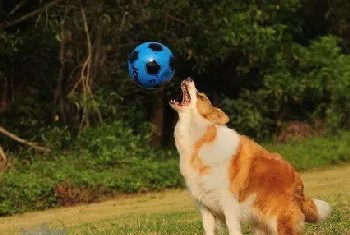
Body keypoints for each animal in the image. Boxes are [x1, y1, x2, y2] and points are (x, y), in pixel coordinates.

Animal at [169, 78, 330, 235]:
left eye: (200, 96)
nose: (189, 78)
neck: (200, 137)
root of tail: (300, 187)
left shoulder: (228, 203)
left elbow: (232, 228)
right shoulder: (205, 206)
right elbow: (208, 228)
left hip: (279, 219)